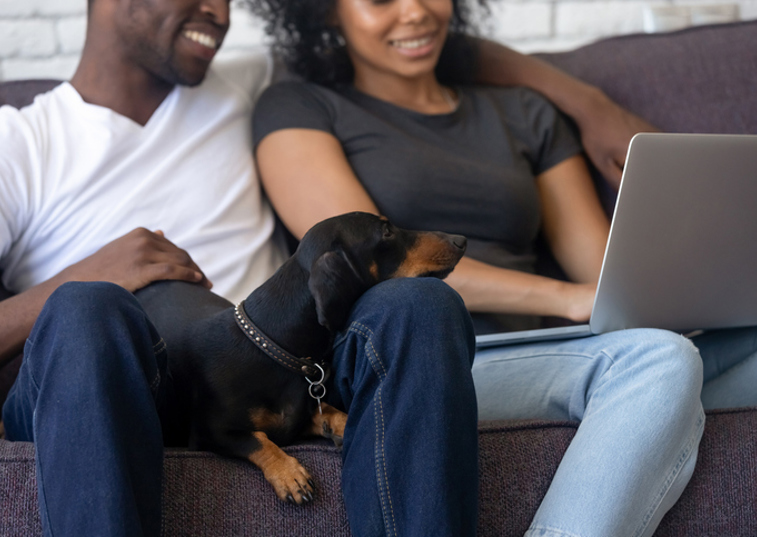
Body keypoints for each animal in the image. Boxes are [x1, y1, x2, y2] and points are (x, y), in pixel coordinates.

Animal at [137, 213, 466, 502]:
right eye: (386, 232)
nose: (461, 240)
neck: (270, 348)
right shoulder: (210, 433)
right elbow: (257, 439)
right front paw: (289, 475)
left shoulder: (299, 419)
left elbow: (328, 412)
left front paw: (342, 424)